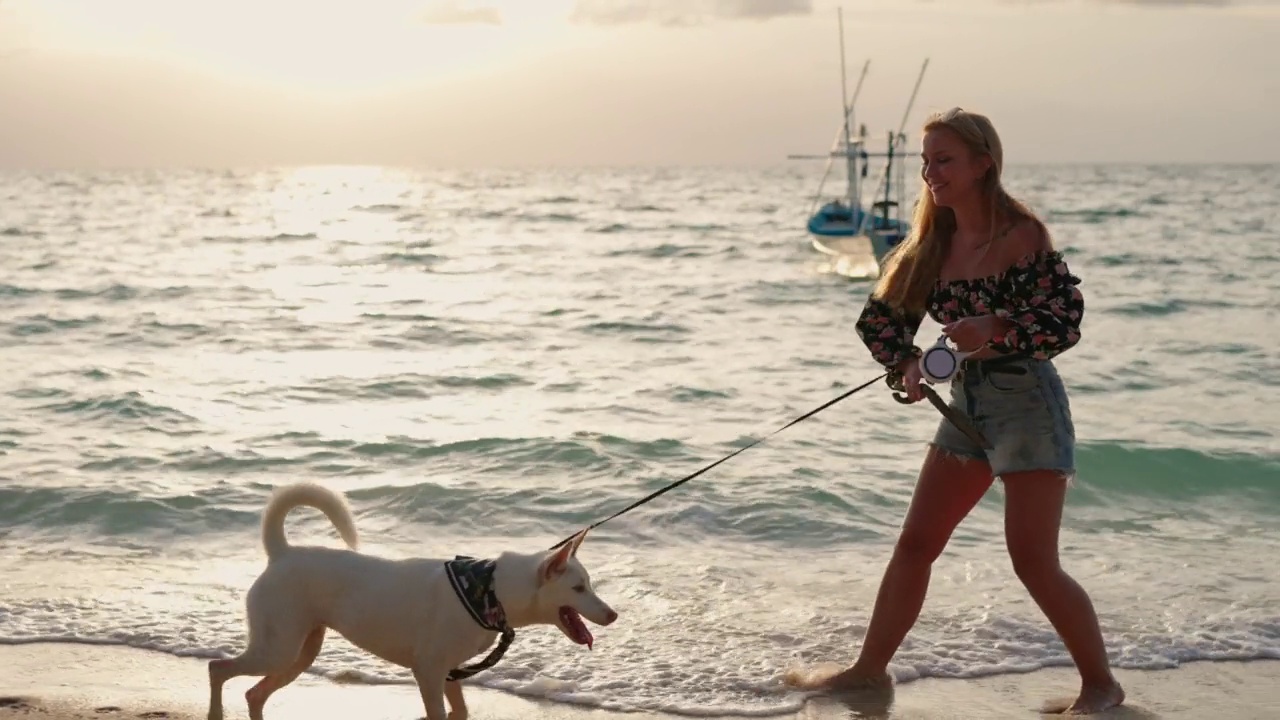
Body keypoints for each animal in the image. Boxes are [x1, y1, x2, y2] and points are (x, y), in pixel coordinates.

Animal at [207, 479, 616, 720]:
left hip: (298, 653)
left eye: (589, 585)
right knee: (218, 669)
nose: (612, 615)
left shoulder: (449, 672)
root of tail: (282, 553)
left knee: (254, 694)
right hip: (277, 648)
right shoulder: (429, 672)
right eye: (579, 588)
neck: (489, 590)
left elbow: (459, 712)